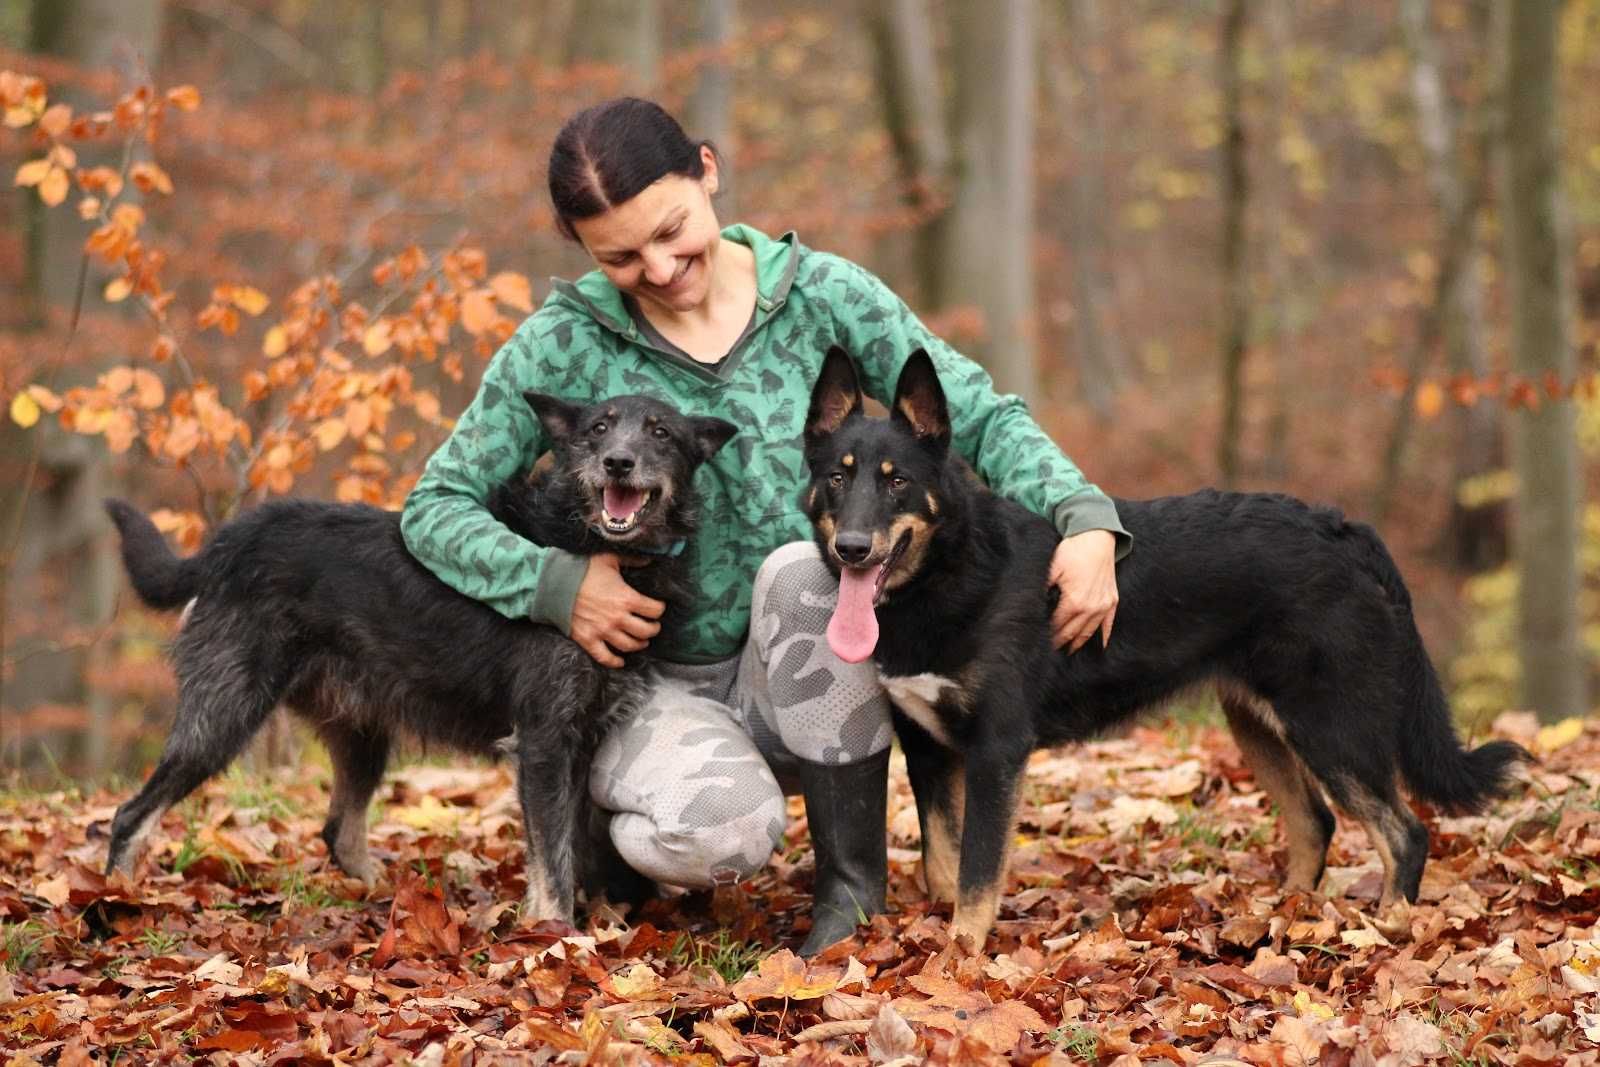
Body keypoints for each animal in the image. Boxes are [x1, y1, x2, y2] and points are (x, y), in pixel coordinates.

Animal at [103, 391, 739, 927]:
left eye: (660, 432)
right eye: (598, 429)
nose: (618, 463)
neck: (596, 547)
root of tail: (226, 544)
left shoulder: (583, 742)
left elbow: (578, 847)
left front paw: (602, 926)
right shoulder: (543, 742)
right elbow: (553, 860)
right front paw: (559, 939)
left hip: (361, 736)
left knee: (339, 831)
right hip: (223, 716)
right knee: (130, 815)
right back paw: (114, 904)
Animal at [800, 348, 1523, 953]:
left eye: (896, 481)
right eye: (837, 479)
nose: (852, 548)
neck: (951, 572)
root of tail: (1344, 529)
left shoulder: (996, 751)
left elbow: (977, 877)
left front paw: (959, 965)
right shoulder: (927, 747)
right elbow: (943, 866)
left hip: (1331, 726)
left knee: (1405, 833)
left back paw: (1389, 931)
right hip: (1259, 724)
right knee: (1315, 822)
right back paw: (1288, 918)